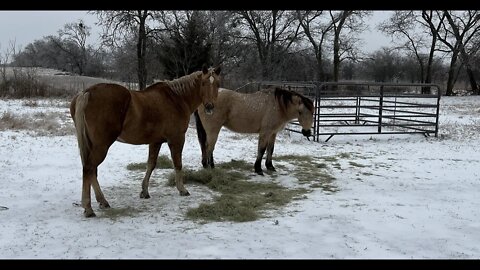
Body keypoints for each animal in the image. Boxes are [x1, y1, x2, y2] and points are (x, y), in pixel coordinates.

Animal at [69, 65, 221, 217]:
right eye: (203, 83)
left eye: (217, 84)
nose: (209, 107)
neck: (177, 98)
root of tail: (86, 93)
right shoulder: (176, 139)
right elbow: (177, 164)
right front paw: (182, 189)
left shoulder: (155, 142)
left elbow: (151, 164)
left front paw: (145, 192)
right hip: (101, 145)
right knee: (89, 168)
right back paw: (88, 208)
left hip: (92, 145)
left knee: (91, 170)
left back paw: (102, 201)